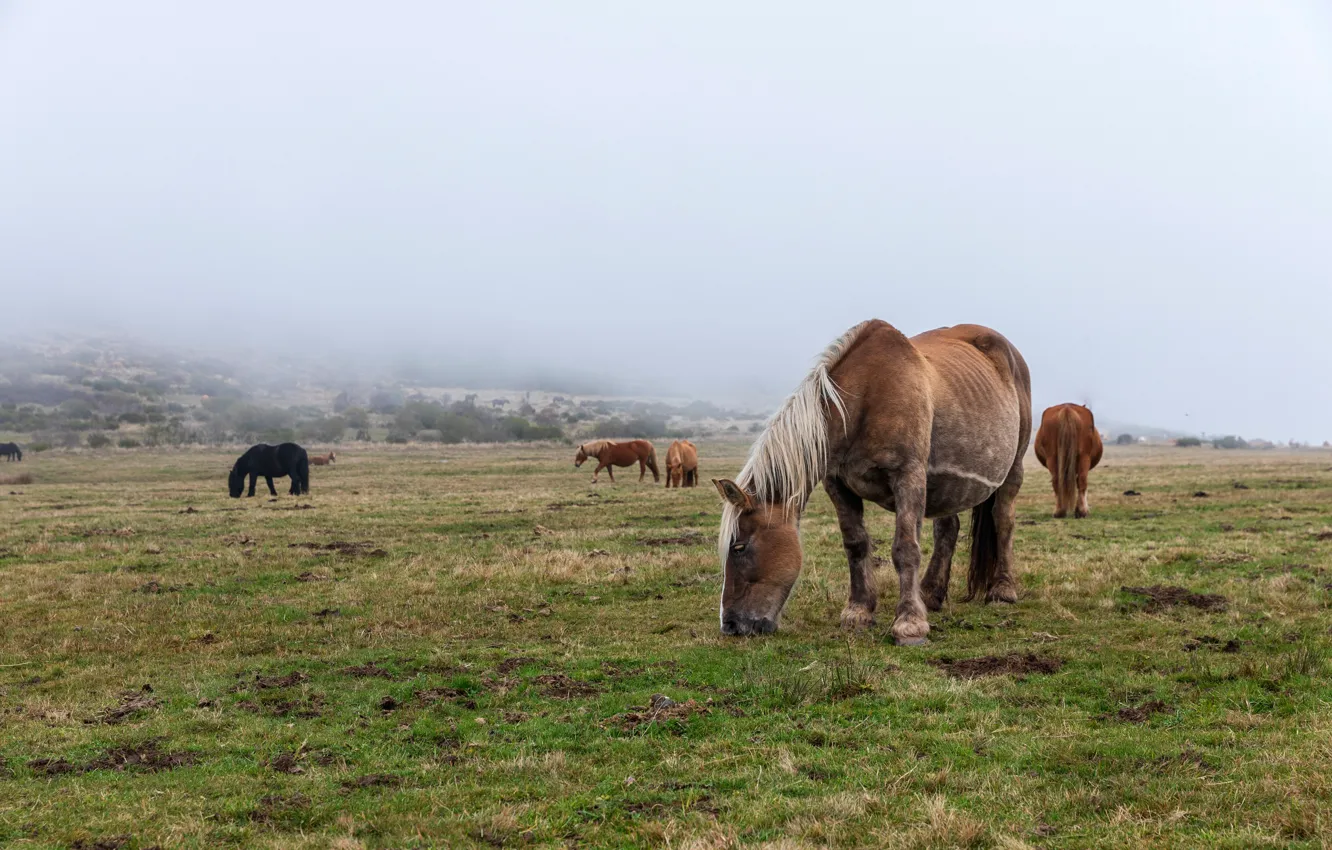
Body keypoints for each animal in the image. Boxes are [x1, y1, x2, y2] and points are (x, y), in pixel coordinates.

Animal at [713, 320, 1032, 645]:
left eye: (739, 547)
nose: (731, 624)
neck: (864, 399)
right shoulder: (837, 484)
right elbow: (855, 545)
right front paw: (859, 612)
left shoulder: (908, 477)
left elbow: (906, 549)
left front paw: (910, 623)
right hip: (946, 484)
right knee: (947, 528)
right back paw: (930, 594)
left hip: (1012, 471)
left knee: (1003, 521)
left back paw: (1002, 590)